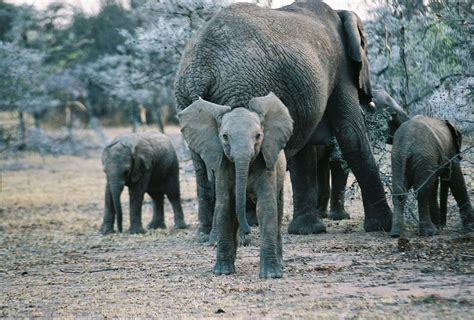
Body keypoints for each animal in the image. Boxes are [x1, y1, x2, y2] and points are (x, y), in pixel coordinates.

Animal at [174, 0, 392, 236]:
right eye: (366, 47)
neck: (340, 12)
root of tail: (199, 72)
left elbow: (304, 148)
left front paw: (307, 230)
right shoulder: (340, 68)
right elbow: (350, 134)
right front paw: (381, 226)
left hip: (186, 101)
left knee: (201, 160)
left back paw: (208, 235)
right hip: (242, 92)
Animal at [179, 92, 292, 278]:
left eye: (258, 136)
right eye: (225, 136)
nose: (248, 231)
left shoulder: (267, 164)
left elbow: (266, 207)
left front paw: (270, 275)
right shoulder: (223, 166)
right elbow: (225, 207)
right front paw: (222, 272)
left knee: (278, 210)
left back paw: (281, 264)